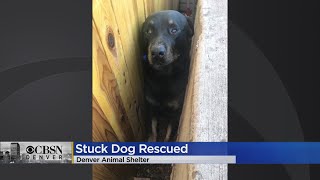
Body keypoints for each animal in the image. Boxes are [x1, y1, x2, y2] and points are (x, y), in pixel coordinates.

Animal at [142, 10, 192, 142]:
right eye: (148, 31)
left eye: (174, 30)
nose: (156, 53)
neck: (163, 76)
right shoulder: (150, 108)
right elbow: (152, 133)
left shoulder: (176, 113)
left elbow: (169, 136)